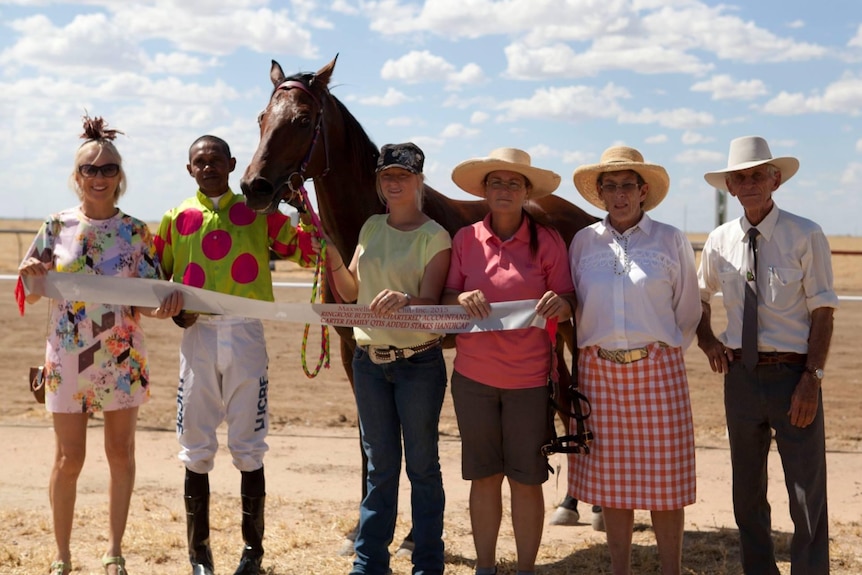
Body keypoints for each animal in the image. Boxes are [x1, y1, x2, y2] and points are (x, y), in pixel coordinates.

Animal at [240, 57, 596, 552]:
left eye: (305, 119)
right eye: (261, 118)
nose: (253, 186)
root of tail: (578, 216)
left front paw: (410, 537)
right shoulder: (352, 353)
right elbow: (370, 443)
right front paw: (361, 530)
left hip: (572, 329)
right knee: (562, 397)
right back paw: (568, 504)